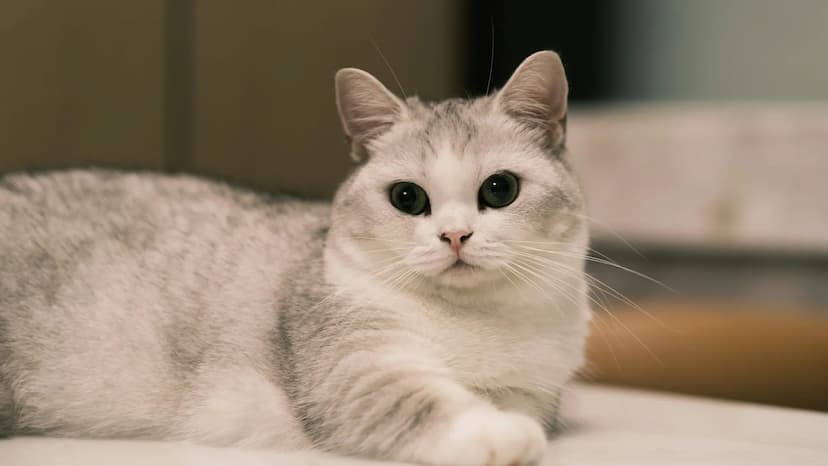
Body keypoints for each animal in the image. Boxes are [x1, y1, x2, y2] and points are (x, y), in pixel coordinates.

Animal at [1, 52, 596, 466]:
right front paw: (498, 434)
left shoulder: (531, 390)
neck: (474, 321)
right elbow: (425, 400)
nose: (454, 236)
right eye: (407, 198)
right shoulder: (354, 368)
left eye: (500, 189)